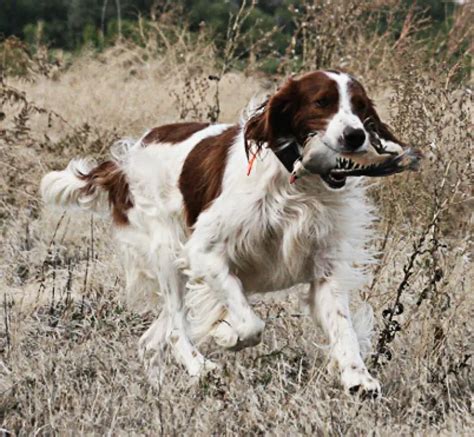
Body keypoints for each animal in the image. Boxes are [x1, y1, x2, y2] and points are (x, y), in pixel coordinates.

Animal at [40, 70, 418, 396]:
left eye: (360, 107)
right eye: (321, 102)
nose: (355, 136)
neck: (297, 186)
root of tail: (124, 161)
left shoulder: (325, 268)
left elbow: (343, 328)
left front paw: (358, 379)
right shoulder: (204, 252)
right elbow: (250, 324)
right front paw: (225, 335)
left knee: (152, 339)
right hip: (167, 252)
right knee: (175, 329)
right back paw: (199, 367)